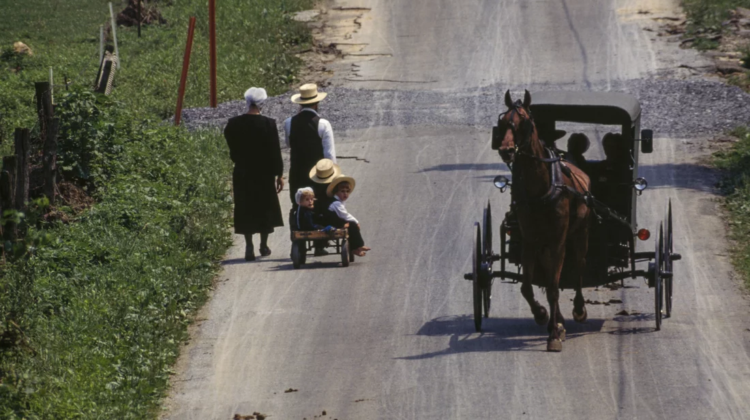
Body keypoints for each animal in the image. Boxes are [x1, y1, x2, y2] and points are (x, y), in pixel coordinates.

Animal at [500, 90, 592, 352]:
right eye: (503, 121)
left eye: (525, 122)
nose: (506, 150)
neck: (540, 187)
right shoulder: (530, 241)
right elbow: (527, 286)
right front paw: (543, 315)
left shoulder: (558, 241)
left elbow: (553, 287)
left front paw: (554, 334)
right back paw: (557, 319)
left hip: (580, 234)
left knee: (579, 266)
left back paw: (578, 310)